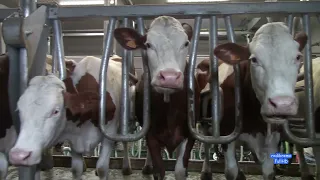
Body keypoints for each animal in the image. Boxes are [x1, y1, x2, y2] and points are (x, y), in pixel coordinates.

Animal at [8, 55, 136, 179]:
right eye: (19, 109)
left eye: (56, 111)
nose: (19, 156)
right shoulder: (74, 138)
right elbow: (76, 170)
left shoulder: (109, 134)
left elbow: (102, 169)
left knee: (125, 141)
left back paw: (127, 168)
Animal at [114, 15, 201, 180]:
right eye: (148, 45)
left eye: (186, 43)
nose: (170, 77)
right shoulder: (150, 133)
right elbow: (159, 170)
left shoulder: (190, 132)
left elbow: (180, 169)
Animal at [198, 22, 308, 180]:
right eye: (254, 59)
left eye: (298, 57)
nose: (283, 104)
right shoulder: (226, 132)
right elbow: (230, 171)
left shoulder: (273, 136)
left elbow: (269, 172)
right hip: (205, 121)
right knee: (206, 142)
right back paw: (206, 172)